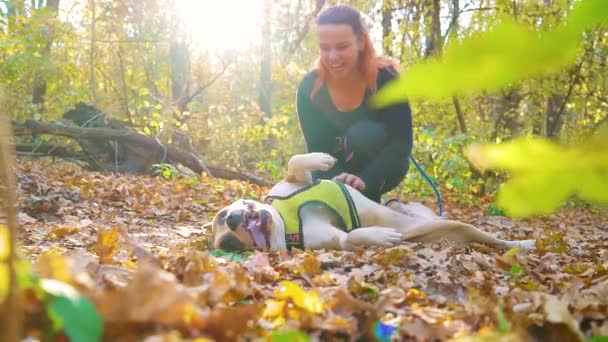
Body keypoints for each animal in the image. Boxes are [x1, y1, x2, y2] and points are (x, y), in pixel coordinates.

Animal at [211, 152, 536, 251]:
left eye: (222, 215)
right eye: (229, 245)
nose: (233, 220)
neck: (285, 216)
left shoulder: (291, 183)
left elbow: (295, 163)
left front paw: (322, 159)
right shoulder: (329, 242)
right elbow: (351, 236)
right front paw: (379, 235)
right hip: (453, 228)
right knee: (492, 239)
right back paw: (524, 244)